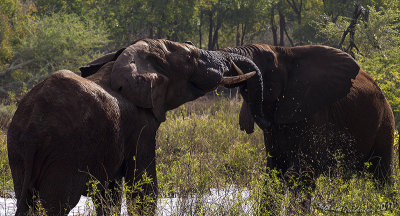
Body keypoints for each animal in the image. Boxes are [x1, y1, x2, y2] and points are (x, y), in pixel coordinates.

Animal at [6, 38, 268, 215]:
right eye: (191, 58)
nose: (253, 125)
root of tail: (32, 129)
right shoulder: (141, 125)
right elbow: (143, 187)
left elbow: (109, 193)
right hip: (65, 153)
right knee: (55, 205)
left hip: (17, 154)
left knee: (26, 199)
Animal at [223, 44, 396, 181]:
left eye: (268, 60)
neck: (285, 51)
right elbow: (274, 169)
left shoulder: (315, 112)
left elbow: (305, 172)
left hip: (386, 123)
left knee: (382, 175)